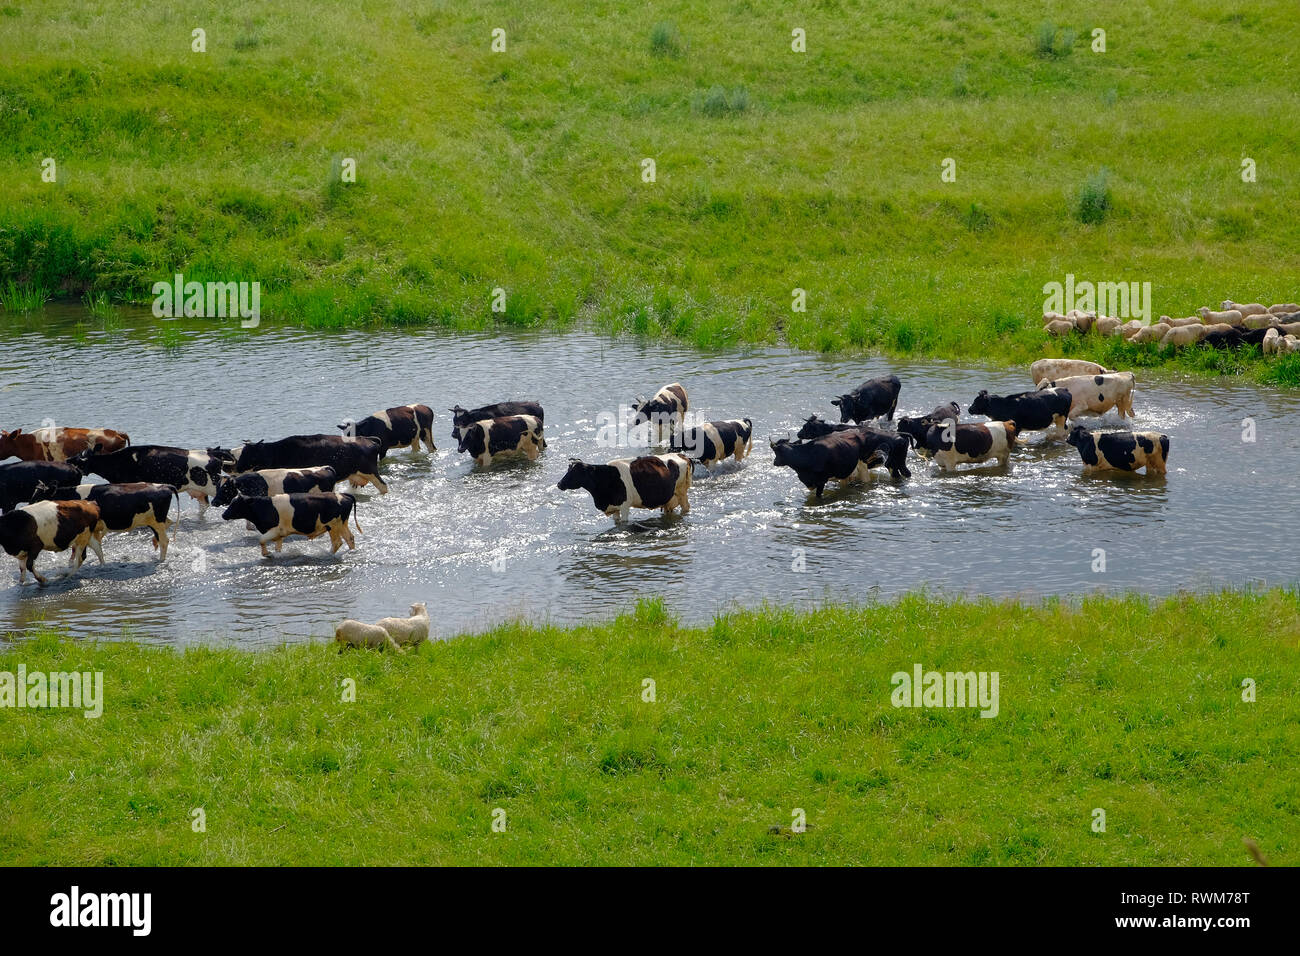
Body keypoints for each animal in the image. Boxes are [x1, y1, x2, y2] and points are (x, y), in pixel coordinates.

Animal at [33, 482, 179, 561]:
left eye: (39, 498)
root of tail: (164, 486)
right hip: (156, 521)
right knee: (166, 528)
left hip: (157, 521)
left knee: (164, 540)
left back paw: (161, 559)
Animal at [70, 445, 227, 514]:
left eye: (77, 459)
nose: (66, 460)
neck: (118, 461)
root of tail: (211, 452)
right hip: (199, 491)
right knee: (204, 506)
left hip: (213, 486)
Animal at [218, 435, 387, 494]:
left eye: (247, 453)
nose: (227, 466)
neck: (277, 452)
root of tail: (369, 439)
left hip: (371, 472)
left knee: (383, 487)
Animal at [220, 492, 362, 556]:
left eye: (236, 504)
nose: (223, 515)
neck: (264, 506)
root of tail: (342, 494)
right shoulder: (279, 534)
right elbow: (277, 547)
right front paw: (275, 553)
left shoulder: (275, 530)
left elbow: (261, 540)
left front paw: (267, 554)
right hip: (342, 524)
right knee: (350, 538)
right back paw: (351, 551)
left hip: (333, 526)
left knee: (337, 542)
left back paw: (328, 554)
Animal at [558, 454, 692, 522]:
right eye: (568, 469)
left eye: (575, 472)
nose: (559, 484)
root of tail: (682, 455)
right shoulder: (615, 507)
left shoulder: (624, 506)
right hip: (669, 498)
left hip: (681, 492)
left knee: (686, 508)